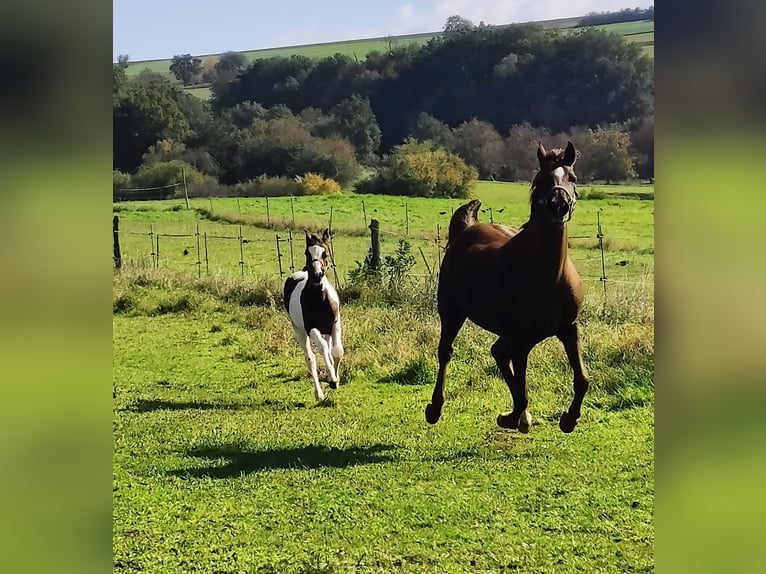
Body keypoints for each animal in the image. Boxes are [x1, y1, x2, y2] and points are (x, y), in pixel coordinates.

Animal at [283, 229, 344, 401]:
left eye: (325, 253)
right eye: (307, 253)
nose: (317, 274)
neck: (319, 299)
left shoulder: (335, 324)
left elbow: (337, 351)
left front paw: (335, 379)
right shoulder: (311, 328)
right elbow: (322, 349)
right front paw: (333, 379)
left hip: (326, 331)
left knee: (328, 349)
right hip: (299, 331)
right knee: (310, 358)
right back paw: (319, 394)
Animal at [425, 141, 589, 433]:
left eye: (572, 177)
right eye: (540, 180)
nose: (558, 205)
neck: (548, 276)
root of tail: (466, 229)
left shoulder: (568, 328)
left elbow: (582, 380)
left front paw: (569, 419)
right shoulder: (521, 336)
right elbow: (521, 386)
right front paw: (513, 417)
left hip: (515, 333)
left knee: (500, 354)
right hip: (452, 312)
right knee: (447, 351)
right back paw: (435, 408)